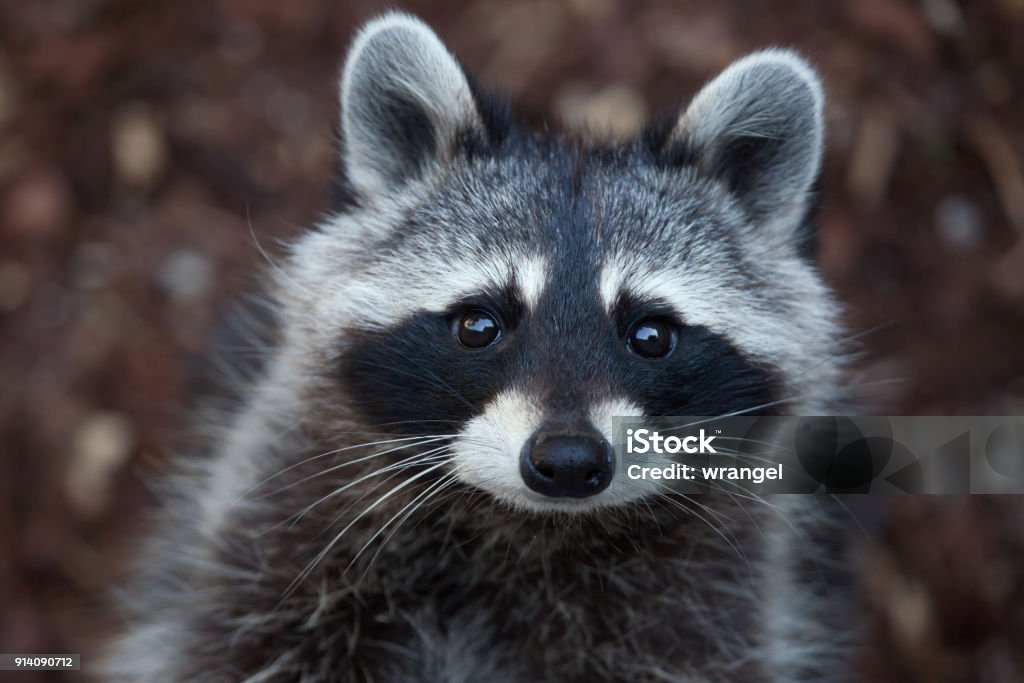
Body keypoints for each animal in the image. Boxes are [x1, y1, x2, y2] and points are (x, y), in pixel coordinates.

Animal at [108, 12, 851, 683]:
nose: (569, 462)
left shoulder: (704, 608)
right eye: (479, 326)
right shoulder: (276, 538)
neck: (520, 529)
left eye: (651, 336)